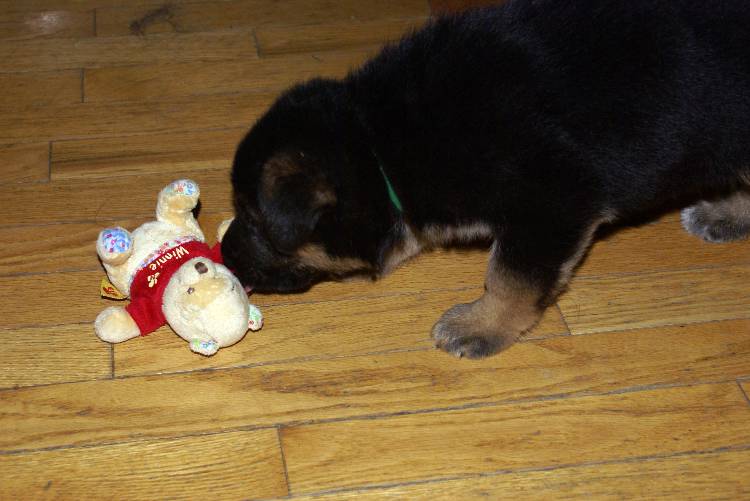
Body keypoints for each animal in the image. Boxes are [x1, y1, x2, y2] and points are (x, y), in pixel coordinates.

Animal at [222, 0, 750, 360]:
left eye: (253, 220)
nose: (224, 253)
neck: (379, 143)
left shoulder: (553, 200)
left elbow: (509, 277)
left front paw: (481, 325)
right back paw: (727, 212)